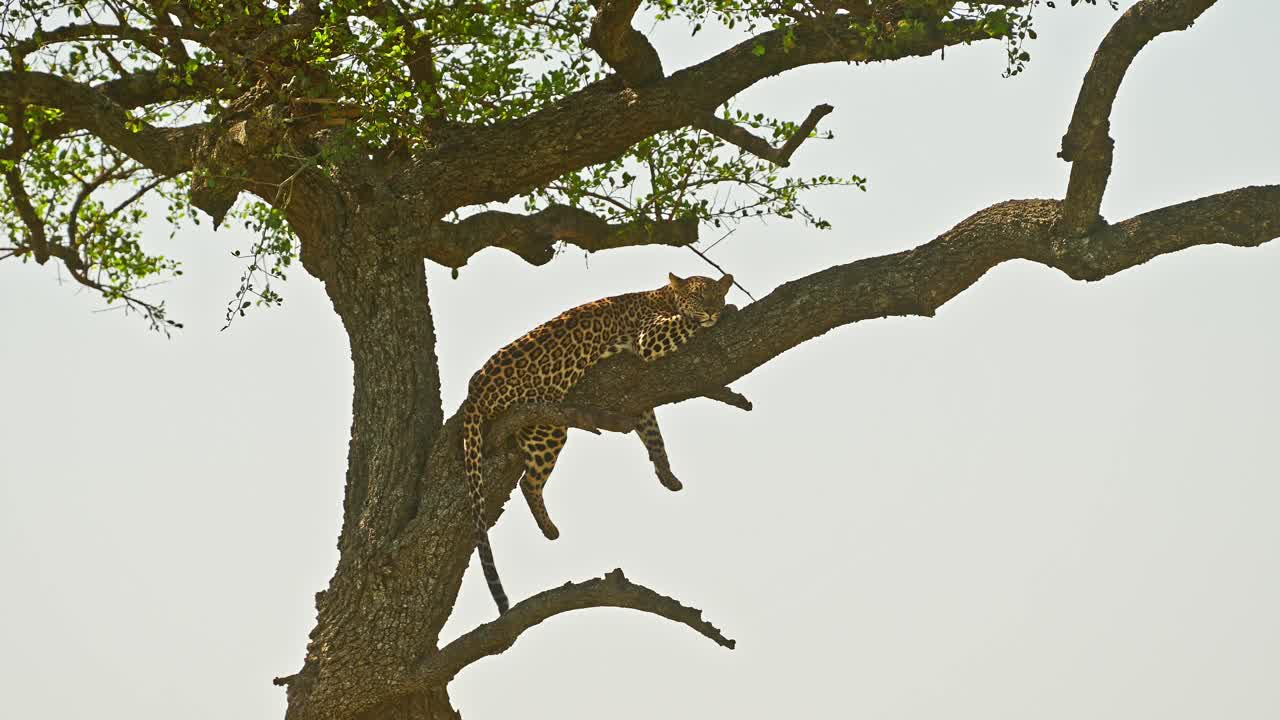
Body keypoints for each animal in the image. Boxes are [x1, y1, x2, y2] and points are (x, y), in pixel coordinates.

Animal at [462, 273, 734, 614]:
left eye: (716, 296)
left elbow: (653, 434)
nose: (712, 310)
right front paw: (728, 312)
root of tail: (475, 391)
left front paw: (666, 474)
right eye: (700, 297)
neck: (665, 296)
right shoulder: (649, 338)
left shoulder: (637, 398)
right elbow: (686, 323)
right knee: (528, 482)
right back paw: (549, 529)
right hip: (548, 425)